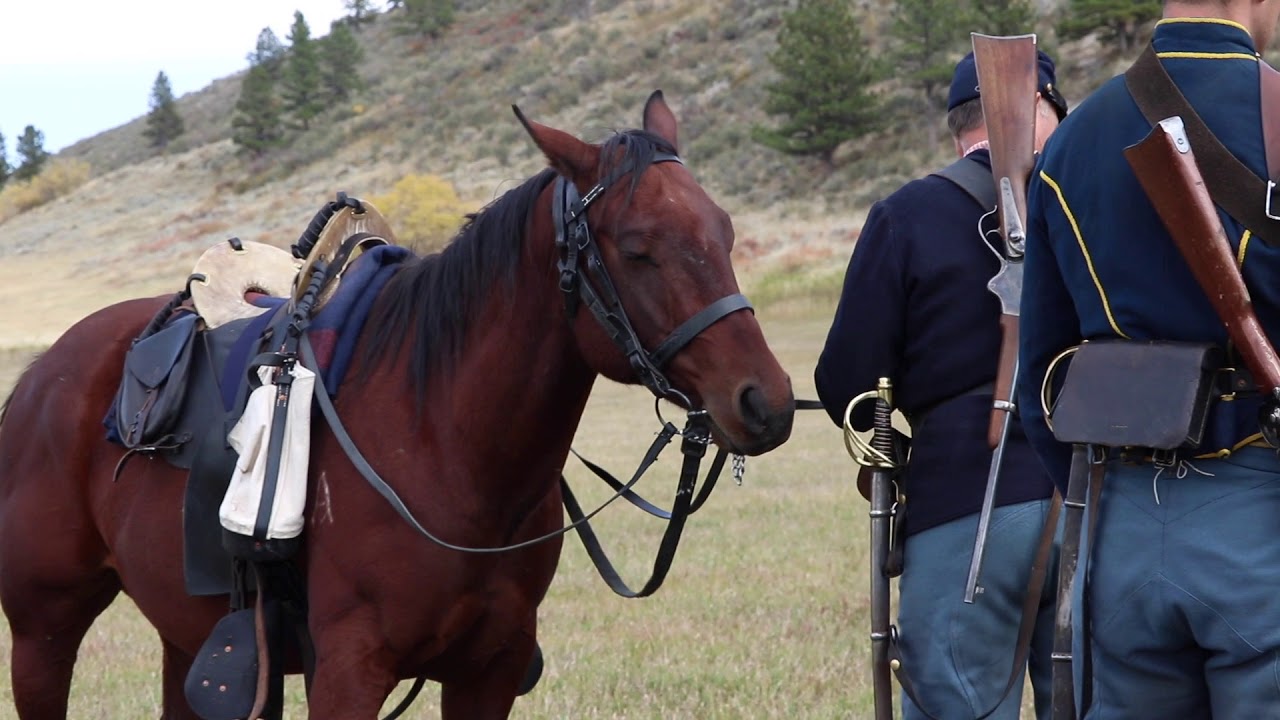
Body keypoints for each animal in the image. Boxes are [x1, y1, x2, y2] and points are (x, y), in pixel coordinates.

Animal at [0, 91, 795, 719]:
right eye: (636, 249)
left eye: (724, 231)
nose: (768, 402)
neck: (448, 445)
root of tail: (41, 376)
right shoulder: (351, 670)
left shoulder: (489, 672)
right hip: (44, 632)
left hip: (186, 639)